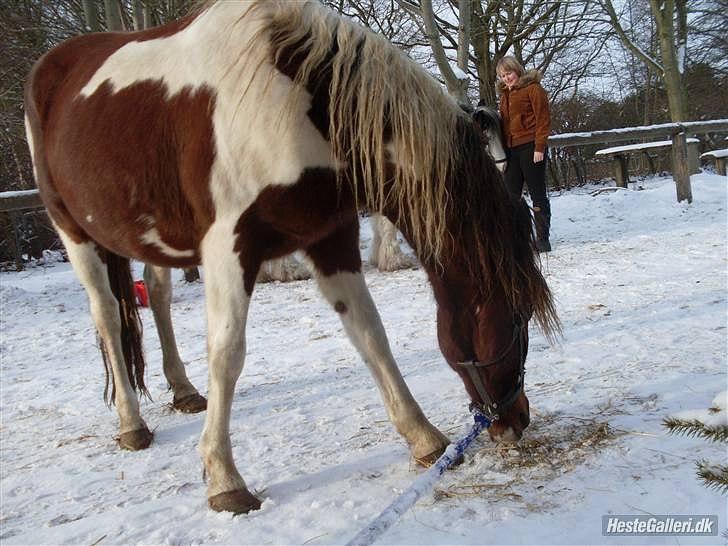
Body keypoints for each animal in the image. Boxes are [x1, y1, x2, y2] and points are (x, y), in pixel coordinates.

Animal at [22, 0, 556, 512]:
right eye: (517, 318)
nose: (516, 418)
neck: (295, 101)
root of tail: (50, 68)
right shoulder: (229, 246)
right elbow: (227, 354)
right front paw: (224, 480)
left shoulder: (330, 237)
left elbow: (370, 334)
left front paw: (423, 438)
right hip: (74, 233)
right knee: (108, 316)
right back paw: (131, 424)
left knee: (156, 296)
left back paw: (184, 390)